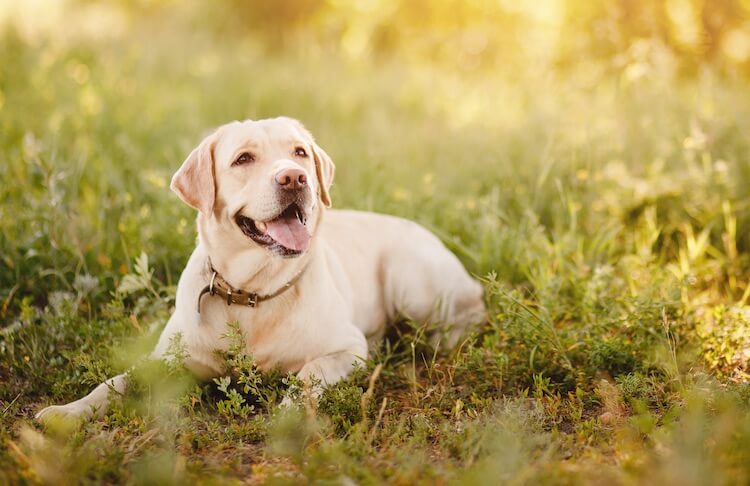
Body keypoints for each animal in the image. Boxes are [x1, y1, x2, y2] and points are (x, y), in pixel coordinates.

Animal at [38, 116, 488, 420]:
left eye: (300, 152)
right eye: (243, 159)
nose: (295, 178)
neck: (250, 293)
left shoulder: (348, 349)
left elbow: (308, 374)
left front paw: (289, 412)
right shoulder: (166, 358)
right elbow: (113, 383)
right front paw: (67, 412)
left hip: (410, 281)